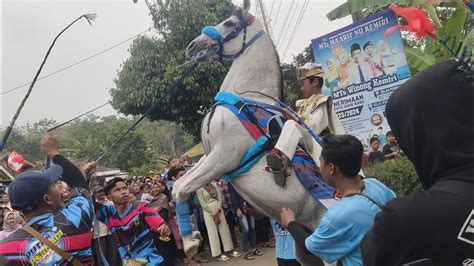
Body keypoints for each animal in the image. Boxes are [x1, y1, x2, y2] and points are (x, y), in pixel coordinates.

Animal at [172, 0, 328, 260]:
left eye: (229, 23)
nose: (193, 46)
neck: (245, 95)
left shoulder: (224, 157)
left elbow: (181, 189)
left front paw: (190, 242)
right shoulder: (208, 155)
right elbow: (177, 184)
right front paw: (191, 238)